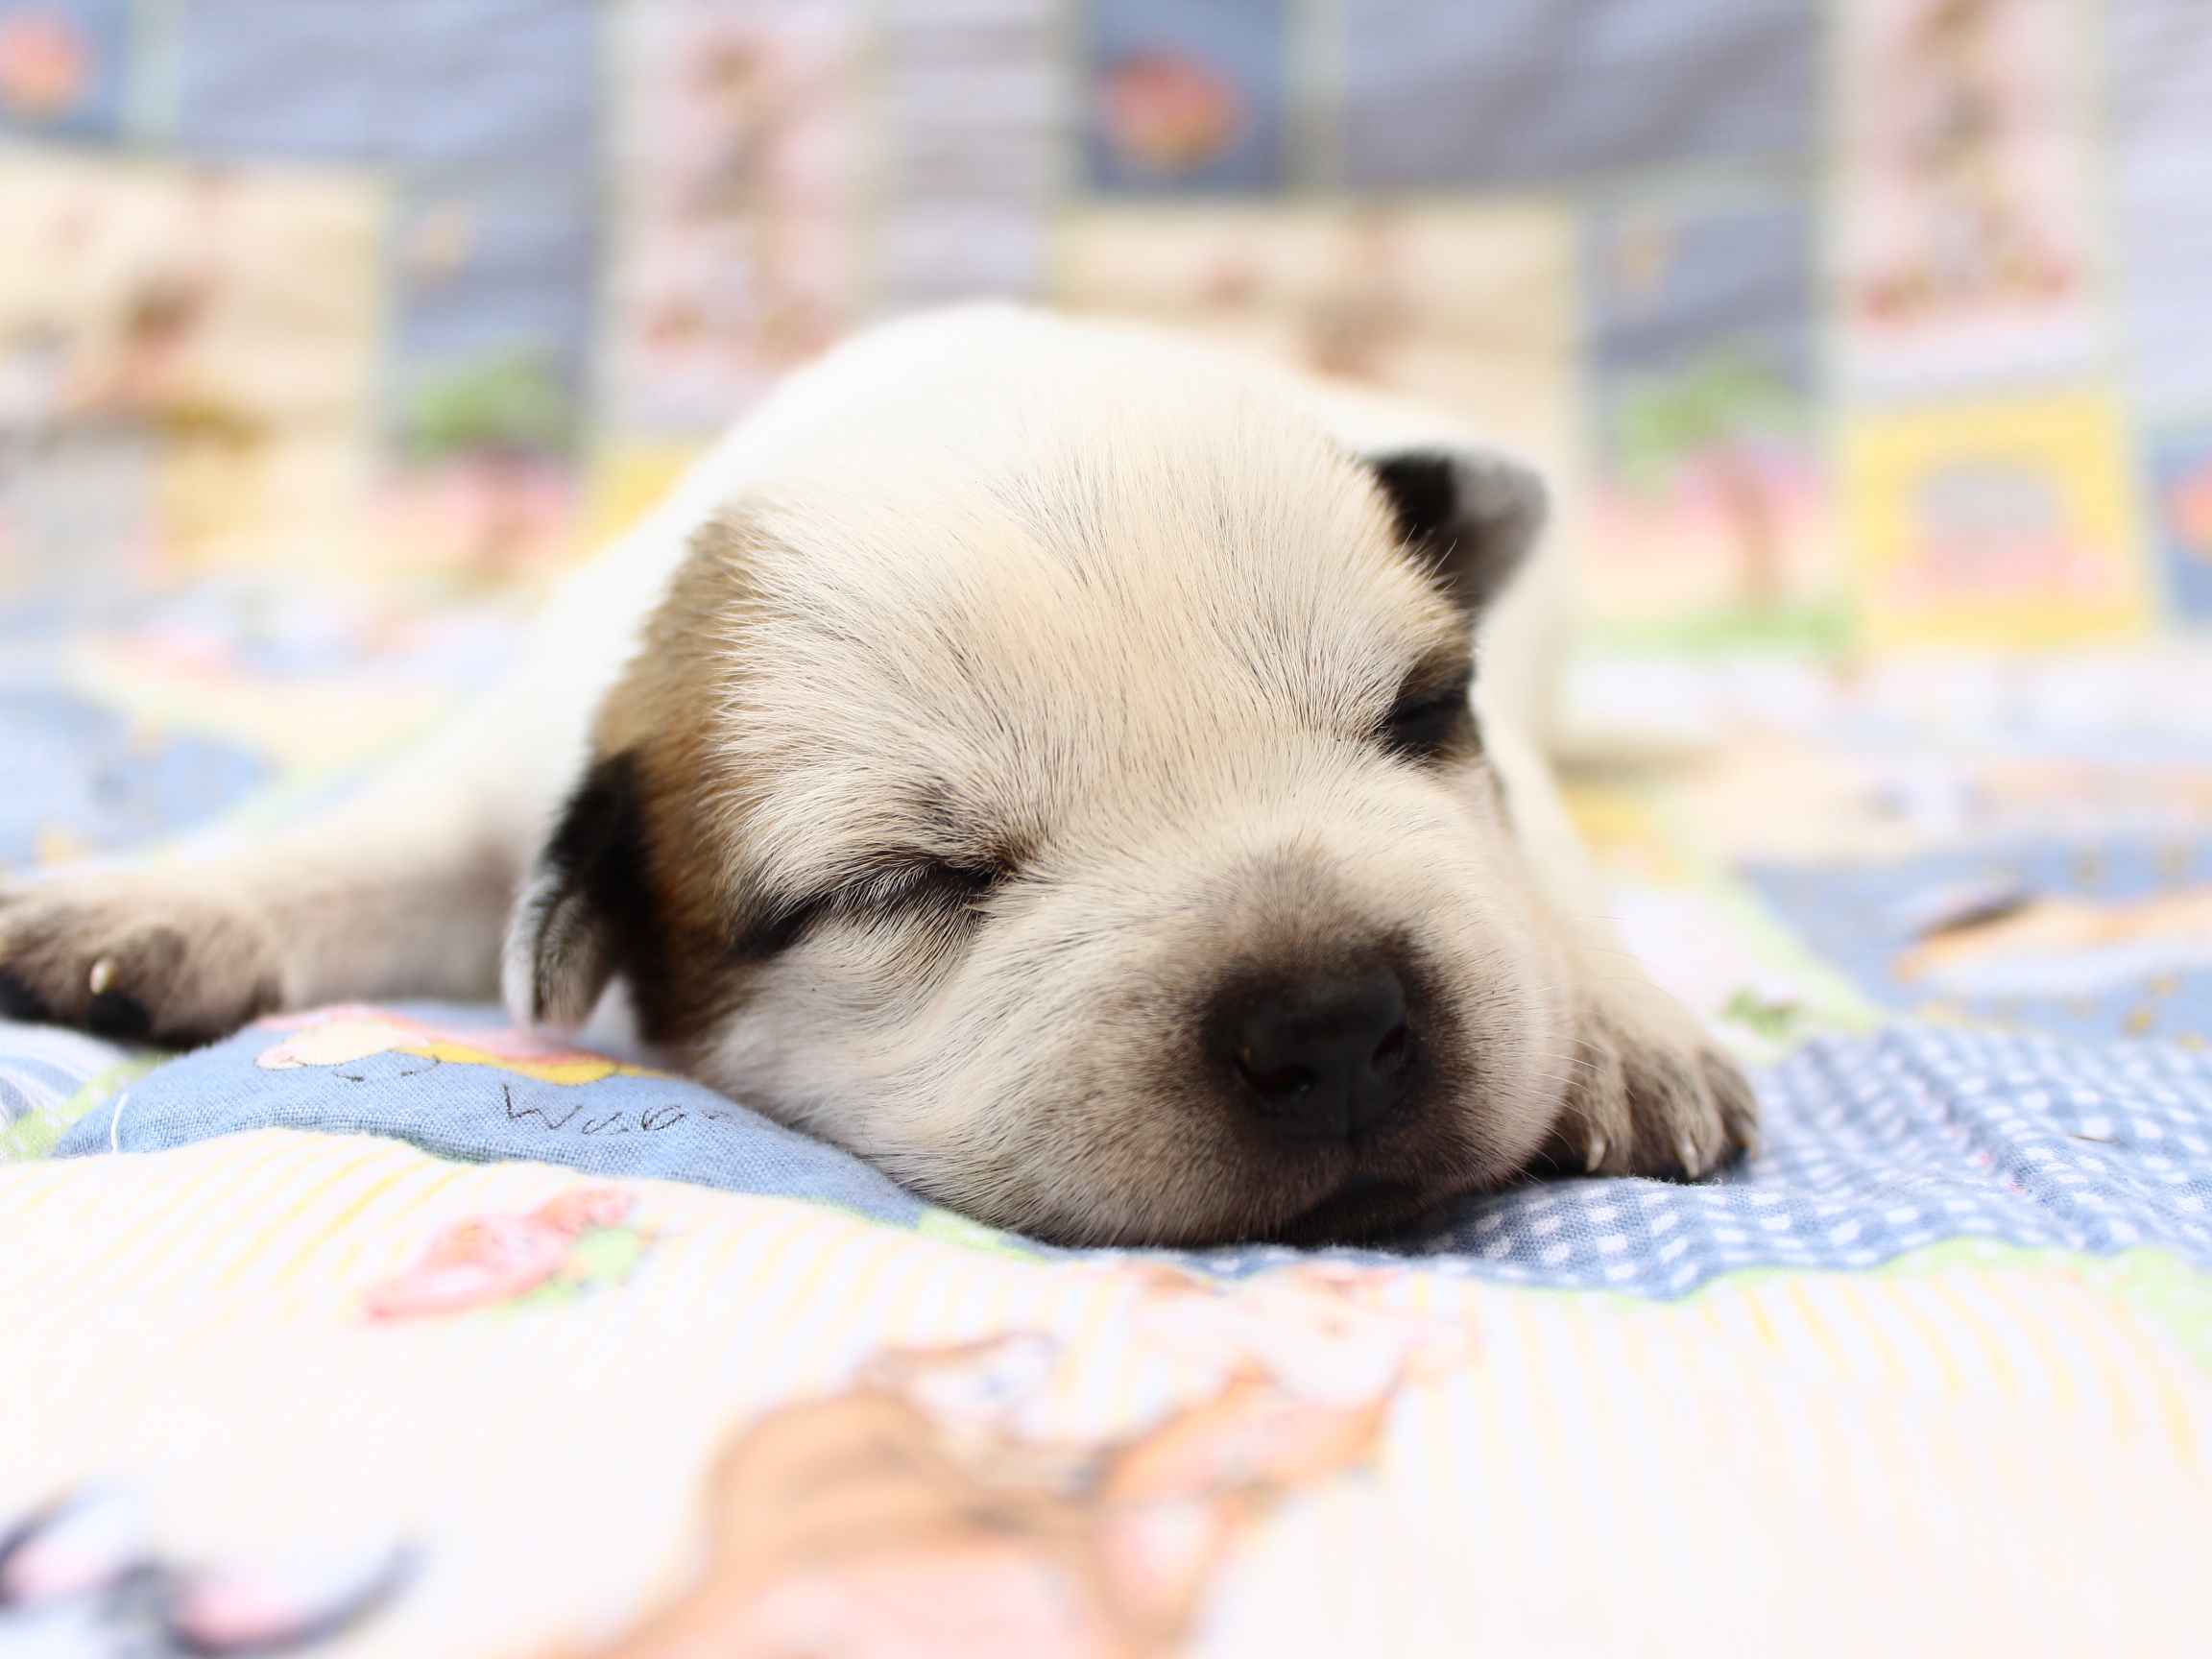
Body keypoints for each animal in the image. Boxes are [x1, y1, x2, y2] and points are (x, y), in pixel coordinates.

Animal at [4, 311, 1760, 1247]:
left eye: (1421, 711)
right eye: (907, 883)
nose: (1328, 1020)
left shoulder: (1499, 746)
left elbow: (1536, 866)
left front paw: (1622, 1033)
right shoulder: (517, 766)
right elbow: (371, 845)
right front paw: (149, 910)